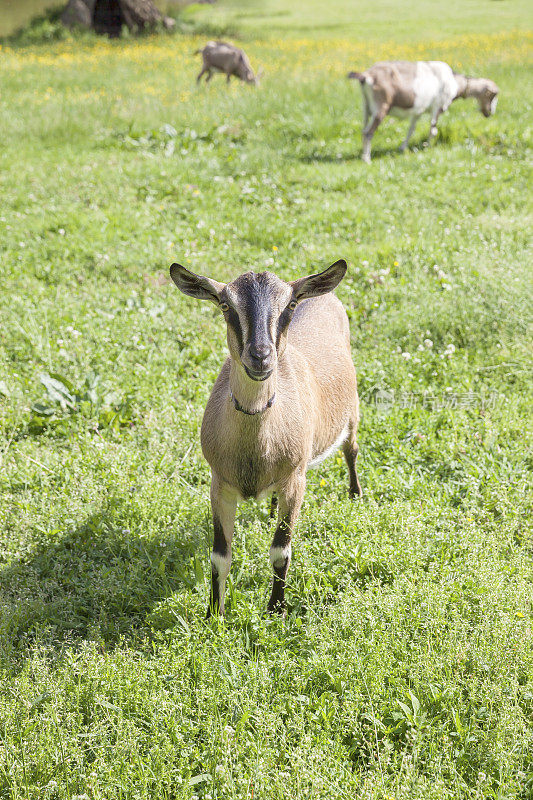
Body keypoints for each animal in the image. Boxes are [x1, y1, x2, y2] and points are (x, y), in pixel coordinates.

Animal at [169, 260, 362, 616]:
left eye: (290, 305)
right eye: (225, 305)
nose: (260, 356)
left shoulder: (295, 482)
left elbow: (280, 551)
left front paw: (276, 609)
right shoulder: (219, 484)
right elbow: (219, 556)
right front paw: (213, 614)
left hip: (352, 412)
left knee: (351, 450)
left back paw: (355, 495)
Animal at [348, 61, 496, 166]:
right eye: (492, 96)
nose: (490, 113)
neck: (455, 82)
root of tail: (366, 76)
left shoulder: (417, 111)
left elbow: (411, 129)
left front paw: (403, 148)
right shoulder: (438, 107)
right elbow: (433, 130)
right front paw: (428, 147)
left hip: (367, 107)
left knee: (363, 130)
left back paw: (363, 154)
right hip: (381, 107)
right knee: (368, 132)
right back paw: (367, 159)